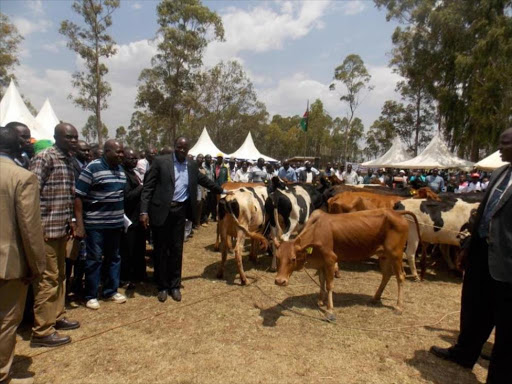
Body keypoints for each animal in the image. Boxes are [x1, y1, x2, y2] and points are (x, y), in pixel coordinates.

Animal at [276, 208, 420, 320]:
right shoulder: (321, 262)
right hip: (384, 255)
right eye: (277, 257)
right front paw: (320, 301)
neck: (317, 230)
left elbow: (329, 285)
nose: (279, 281)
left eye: (293, 259)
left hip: (396, 254)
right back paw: (375, 298)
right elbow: (322, 281)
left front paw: (330, 310)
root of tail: (397, 213)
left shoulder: (330, 259)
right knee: (387, 274)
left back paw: (398, 307)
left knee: (400, 276)